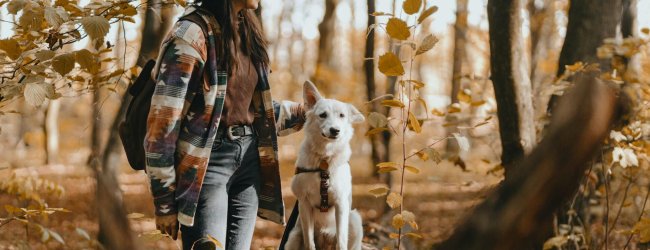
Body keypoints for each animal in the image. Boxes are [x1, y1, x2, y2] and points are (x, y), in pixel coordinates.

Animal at [284, 81, 364, 249]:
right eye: (322, 115)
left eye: (342, 115)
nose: (335, 130)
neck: (324, 160)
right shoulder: (304, 203)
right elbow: (309, 242)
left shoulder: (341, 204)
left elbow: (341, 242)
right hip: (293, 236)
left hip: (354, 219)